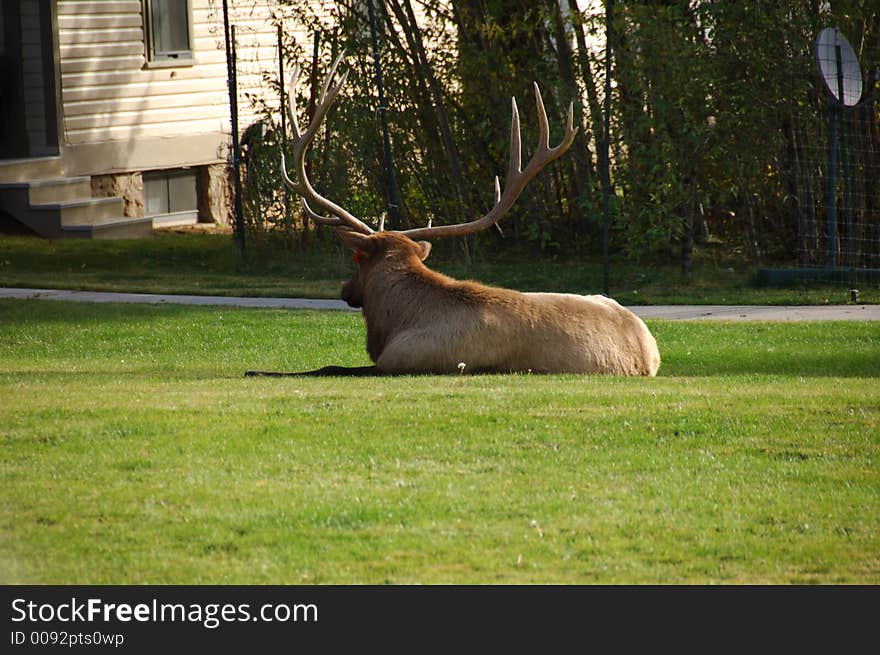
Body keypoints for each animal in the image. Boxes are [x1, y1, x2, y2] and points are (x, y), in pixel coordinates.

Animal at [244, 56, 656, 380]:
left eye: (357, 258)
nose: (345, 290)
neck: (396, 322)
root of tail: (648, 351)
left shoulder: (405, 361)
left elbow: (329, 367)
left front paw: (256, 370)